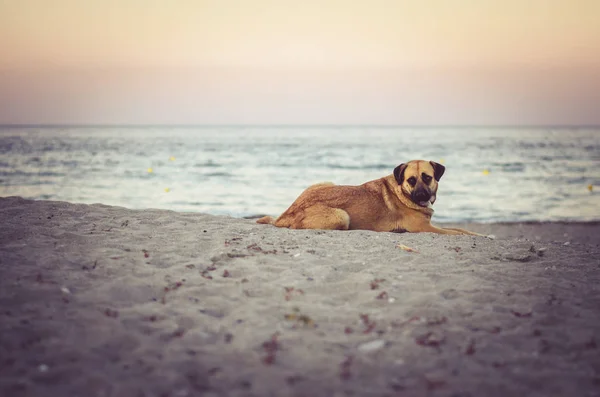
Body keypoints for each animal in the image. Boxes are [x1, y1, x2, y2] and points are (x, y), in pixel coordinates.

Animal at [258, 159, 482, 235]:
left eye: (427, 177)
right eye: (411, 180)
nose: (420, 195)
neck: (402, 192)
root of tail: (287, 212)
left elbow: (461, 229)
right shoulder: (425, 228)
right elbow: (458, 233)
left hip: (326, 182)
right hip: (342, 216)